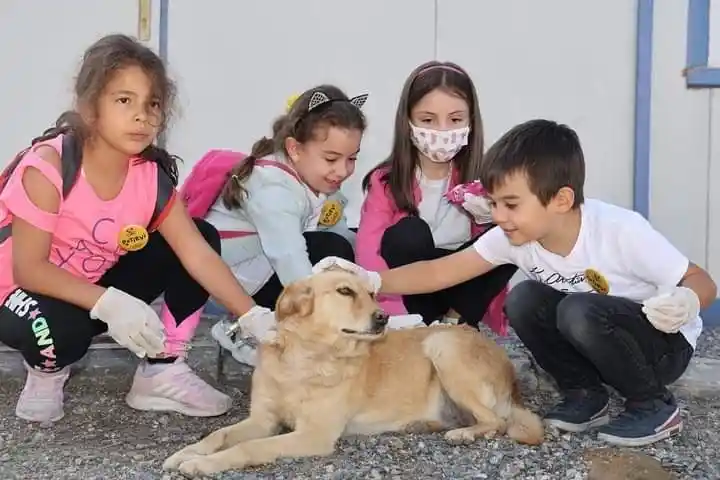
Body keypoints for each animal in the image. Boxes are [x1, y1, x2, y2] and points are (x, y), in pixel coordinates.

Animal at [165, 270, 544, 476]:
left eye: (373, 294)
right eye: (345, 291)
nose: (384, 317)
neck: (306, 358)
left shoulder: (312, 435)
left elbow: (248, 448)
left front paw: (203, 465)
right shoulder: (262, 420)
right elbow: (218, 436)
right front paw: (188, 453)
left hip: (442, 346)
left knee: (496, 421)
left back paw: (465, 434)